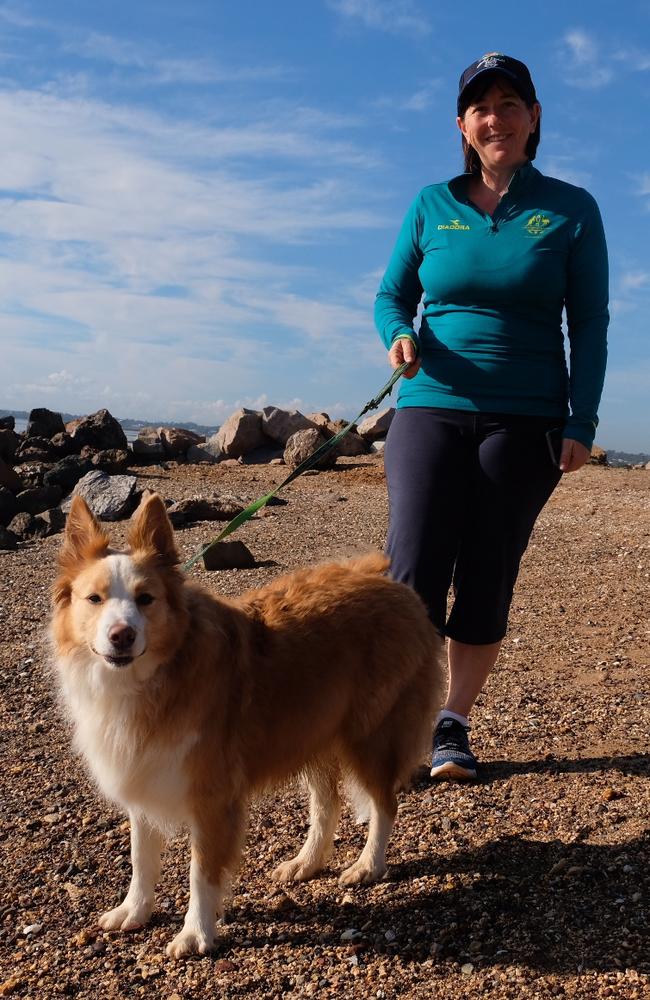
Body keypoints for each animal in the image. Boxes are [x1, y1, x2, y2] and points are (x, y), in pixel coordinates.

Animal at [50, 496, 442, 956]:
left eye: (145, 598)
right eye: (94, 599)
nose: (121, 635)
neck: (157, 675)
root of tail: (391, 582)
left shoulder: (212, 796)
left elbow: (201, 872)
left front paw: (195, 933)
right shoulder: (144, 771)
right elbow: (140, 858)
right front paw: (134, 911)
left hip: (370, 736)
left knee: (384, 804)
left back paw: (368, 865)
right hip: (314, 733)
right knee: (326, 805)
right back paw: (306, 863)